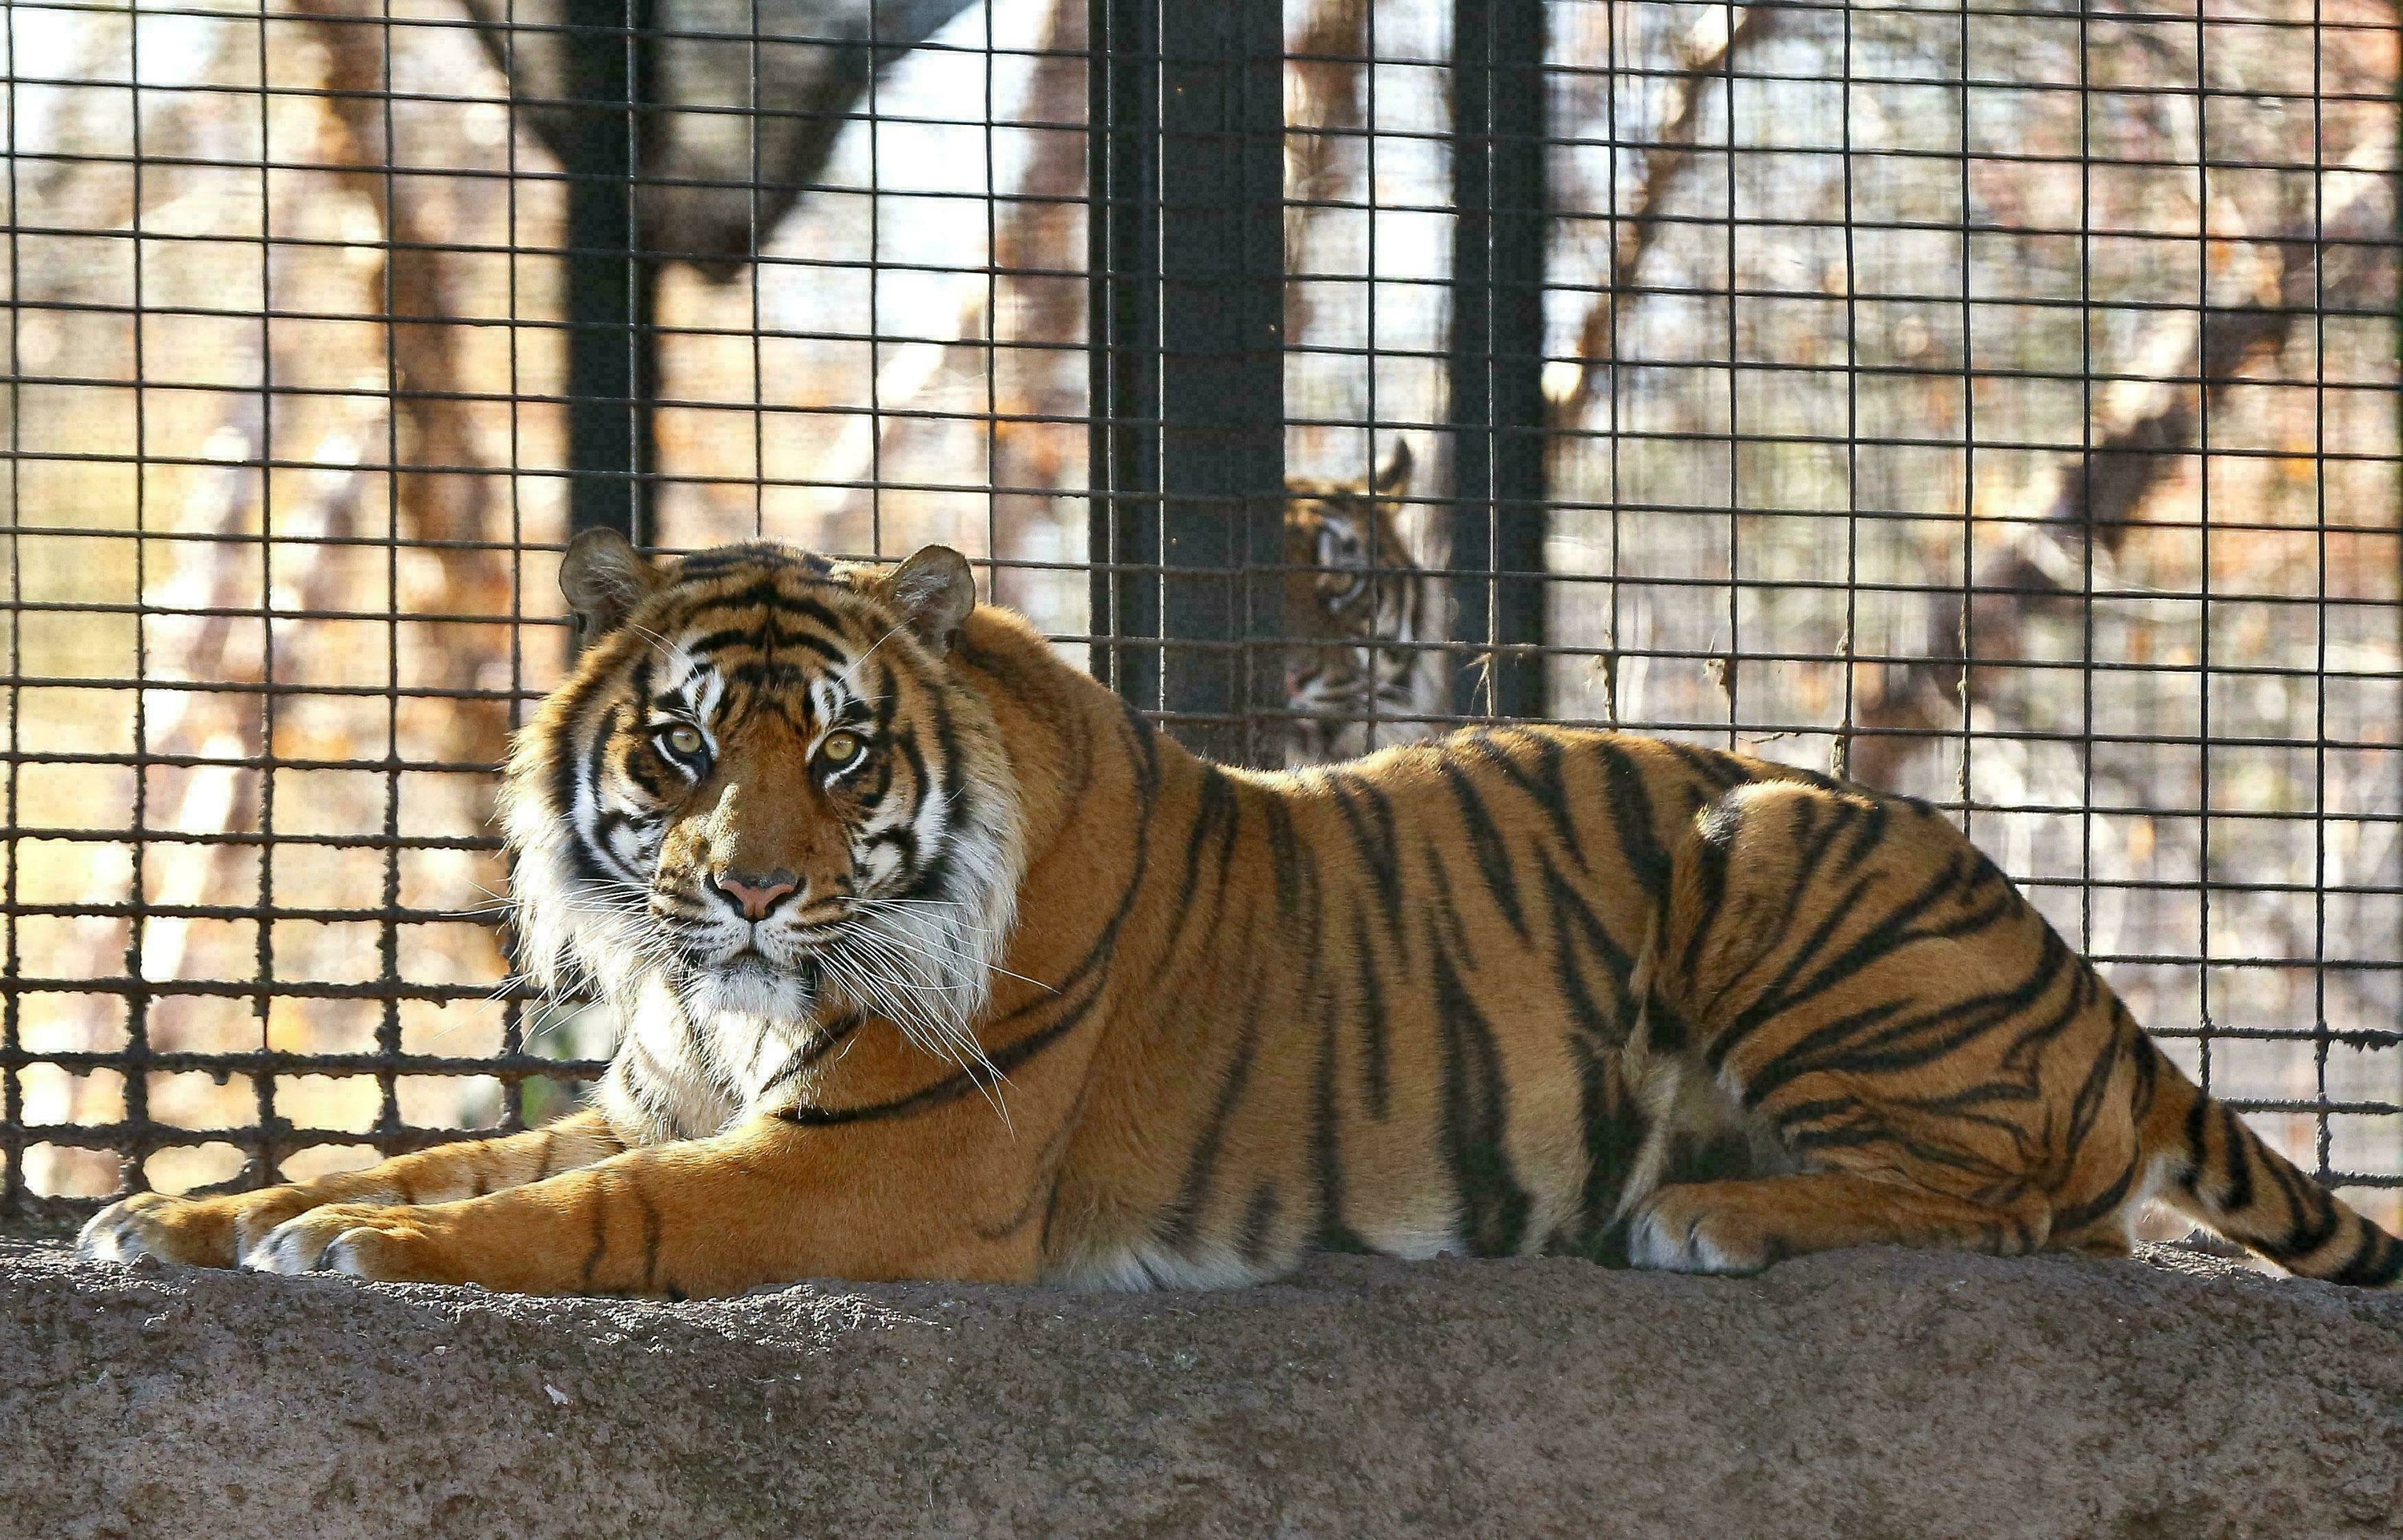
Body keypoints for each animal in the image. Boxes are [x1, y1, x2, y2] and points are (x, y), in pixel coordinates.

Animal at [79, 532, 2403, 1297]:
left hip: (1769, 838)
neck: (714, 1000)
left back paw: (1713, 1208)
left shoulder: (875, 1166)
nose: (743, 888)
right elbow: (439, 1148)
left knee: (2034, 1200)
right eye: (678, 746)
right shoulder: (664, 1084)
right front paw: (177, 1214)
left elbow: (572, 1215)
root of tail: (2103, 1001)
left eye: (834, 753)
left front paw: (351, 1254)